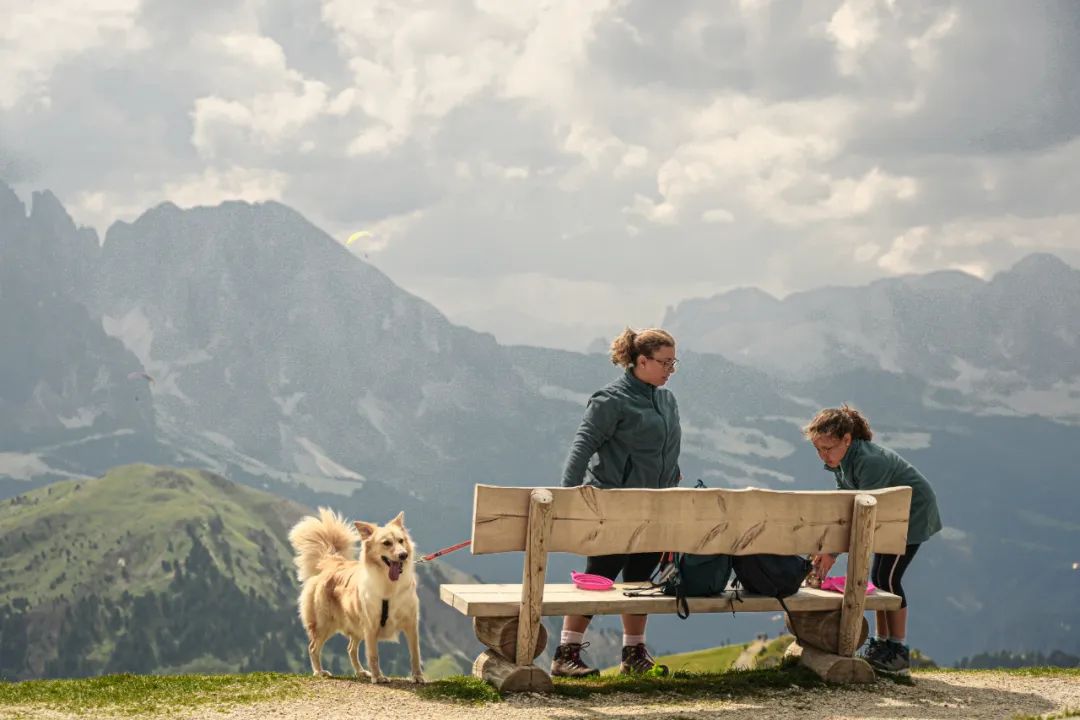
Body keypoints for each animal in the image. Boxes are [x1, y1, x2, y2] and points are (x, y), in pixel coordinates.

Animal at [288, 508, 424, 683]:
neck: (389, 586)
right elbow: (373, 655)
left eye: (401, 541)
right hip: (325, 624)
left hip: (355, 625)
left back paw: (360, 672)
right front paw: (378, 677)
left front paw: (417, 676)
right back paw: (319, 672)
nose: (403, 555)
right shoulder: (371, 626)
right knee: (313, 647)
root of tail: (331, 562)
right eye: (386, 543)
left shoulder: (411, 623)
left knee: (351, 648)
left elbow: (415, 653)